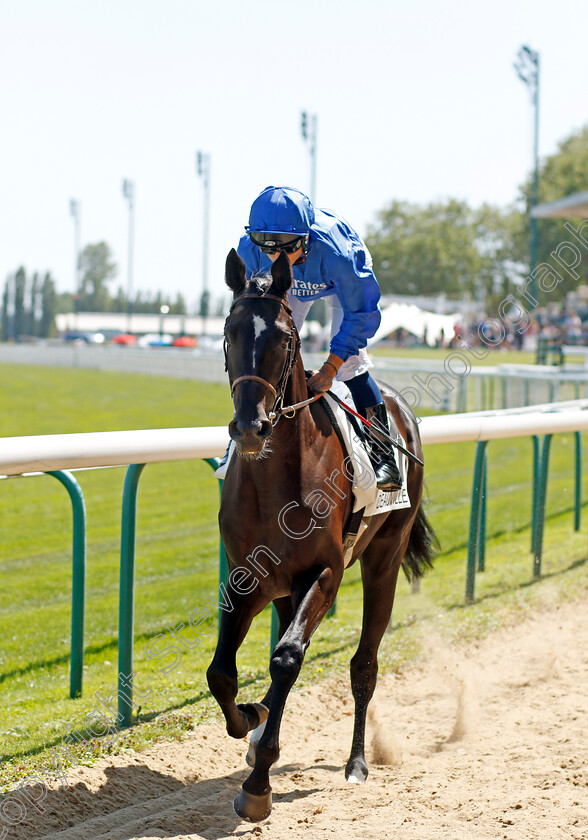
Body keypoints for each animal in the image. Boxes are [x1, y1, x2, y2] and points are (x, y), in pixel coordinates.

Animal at [207, 249, 436, 820]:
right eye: (229, 332)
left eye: (284, 338)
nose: (251, 427)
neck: (273, 480)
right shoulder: (249, 575)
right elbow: (223, 673)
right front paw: (251, 719)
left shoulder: (326, 573)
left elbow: (287, 657)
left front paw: (258, 787)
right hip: (287, 589)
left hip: (384, 559)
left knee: (364, 664)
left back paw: (356, 763)